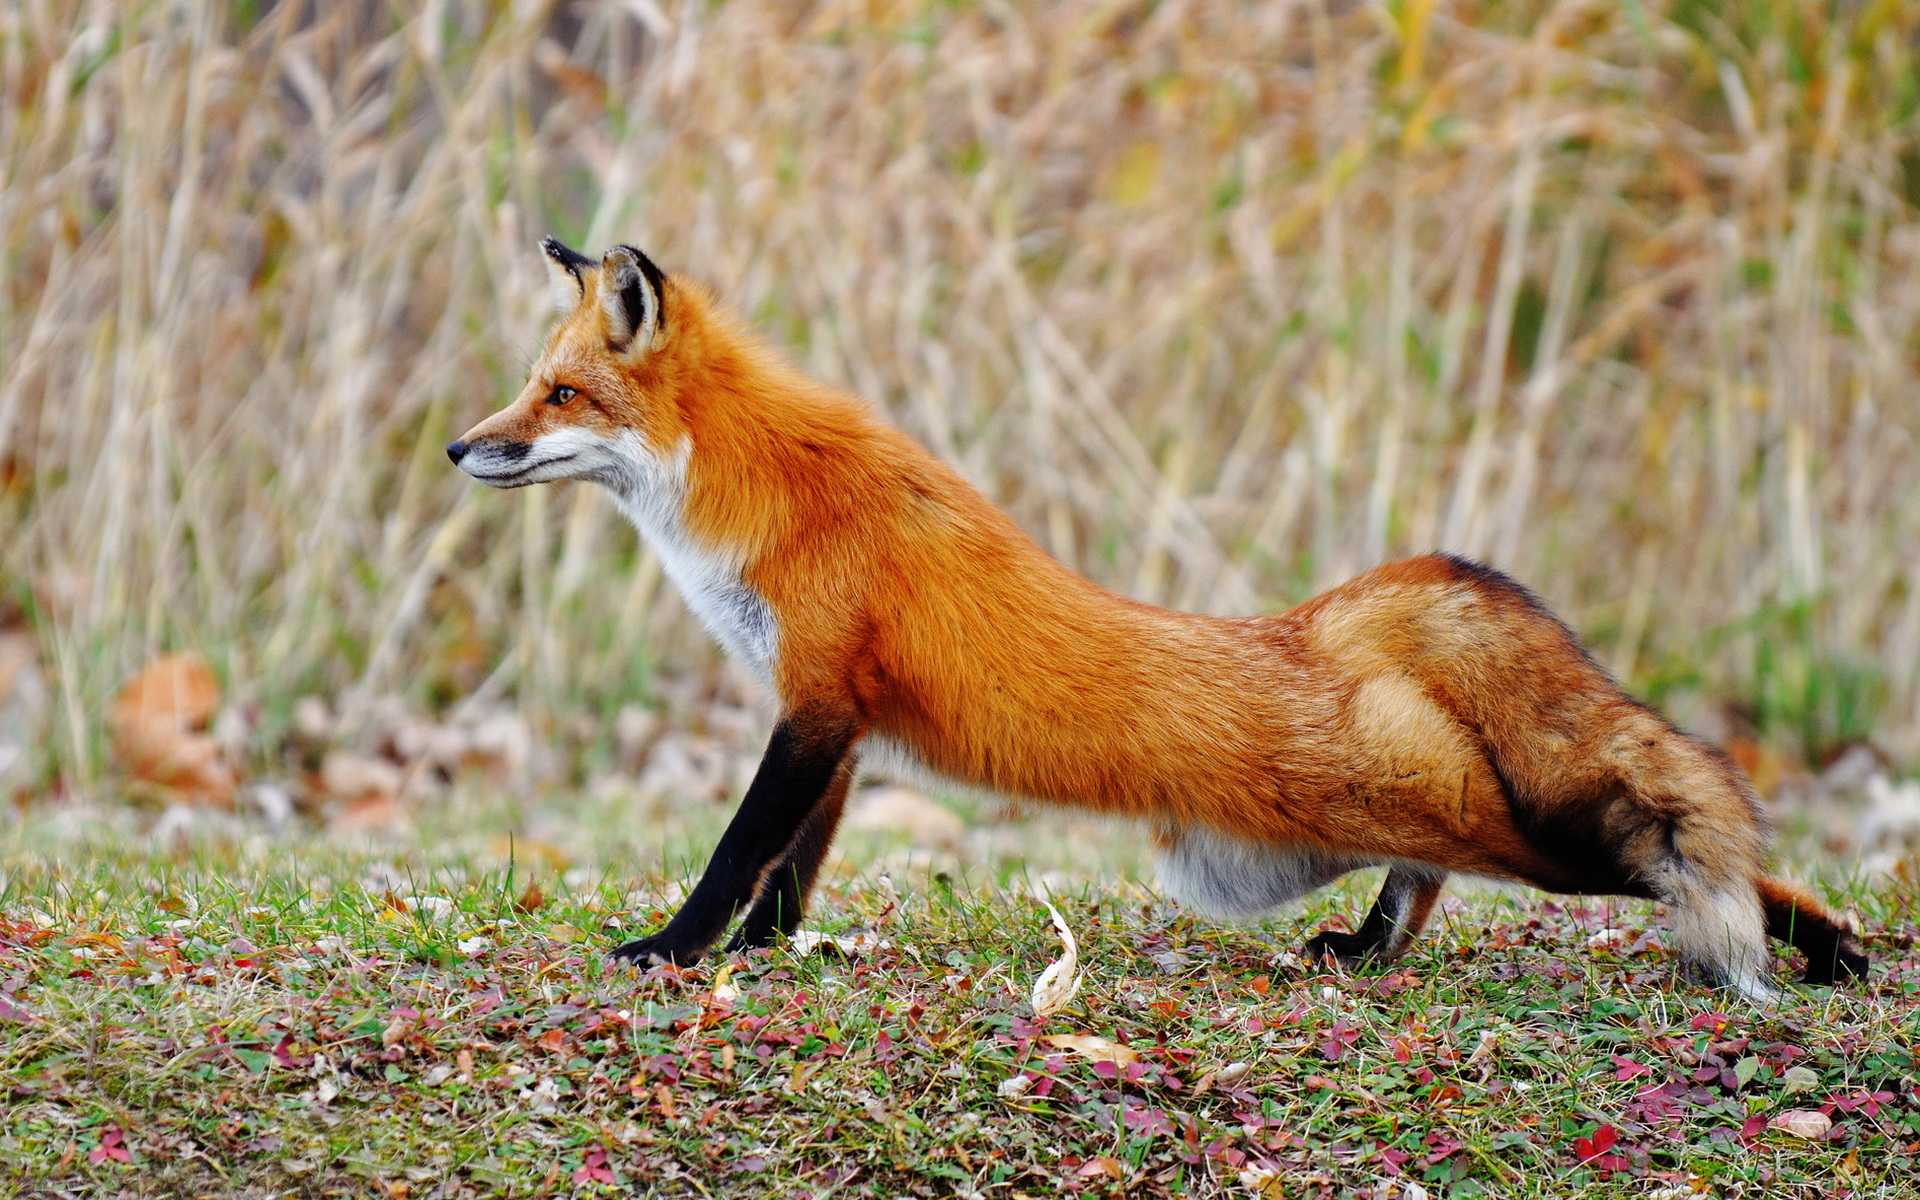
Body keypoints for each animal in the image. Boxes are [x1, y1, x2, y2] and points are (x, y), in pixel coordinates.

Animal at [449, 238, 1868, 1001]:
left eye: (560, 393)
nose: (462, 446)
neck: (763, 498)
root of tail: (1329, 625)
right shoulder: (838, 721)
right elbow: (790, 872)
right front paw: (773, 954)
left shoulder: (814, 703)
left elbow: (739, 850)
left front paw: (674, 951)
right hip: (1407, 816)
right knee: (1438, 876)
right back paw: (1369, 951)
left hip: (1501, 830)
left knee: (1653, 854)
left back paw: (1832, 945)